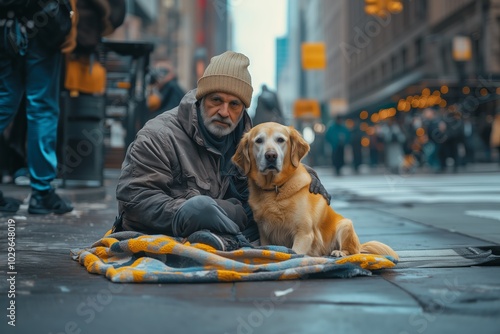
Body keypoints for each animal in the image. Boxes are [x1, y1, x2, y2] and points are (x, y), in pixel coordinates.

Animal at [232, 121, 400, 260]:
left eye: (280, 140)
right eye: (259, 141)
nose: (271, 156)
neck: (275, 188)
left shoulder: (304, 233)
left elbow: (295, 253)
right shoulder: (265, 234)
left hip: (345, 225)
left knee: (353, 251)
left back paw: (338, 252)